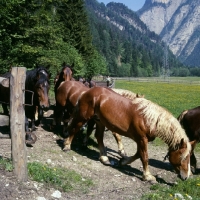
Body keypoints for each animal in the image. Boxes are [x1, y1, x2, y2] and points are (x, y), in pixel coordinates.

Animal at [62, 86, 194, 182]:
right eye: (183, 157)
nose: (186, 177)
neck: (148, 119)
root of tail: (87, 91)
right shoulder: (142, 139)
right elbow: (144, 157)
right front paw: (148, 176)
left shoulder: (140, 140)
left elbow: (138, 154)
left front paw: (123, 161)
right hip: (83, 117)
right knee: (75, 129)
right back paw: (67, 146)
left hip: (99, 121)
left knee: (99, 137)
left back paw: (104, 158)